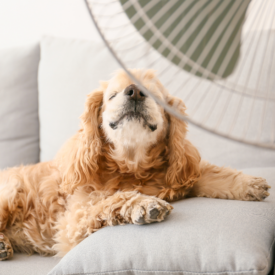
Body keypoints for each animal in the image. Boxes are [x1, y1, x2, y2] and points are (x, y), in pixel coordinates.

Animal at [0, 68, 272, 260]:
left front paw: (250, 184)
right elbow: (112, 200)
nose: (134, 91)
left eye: (155, 96)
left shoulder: (179, 175)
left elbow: (212, 175)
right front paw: (144, 204)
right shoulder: (73, 222)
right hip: (11, 192)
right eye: (112, 95)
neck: (132, 165)